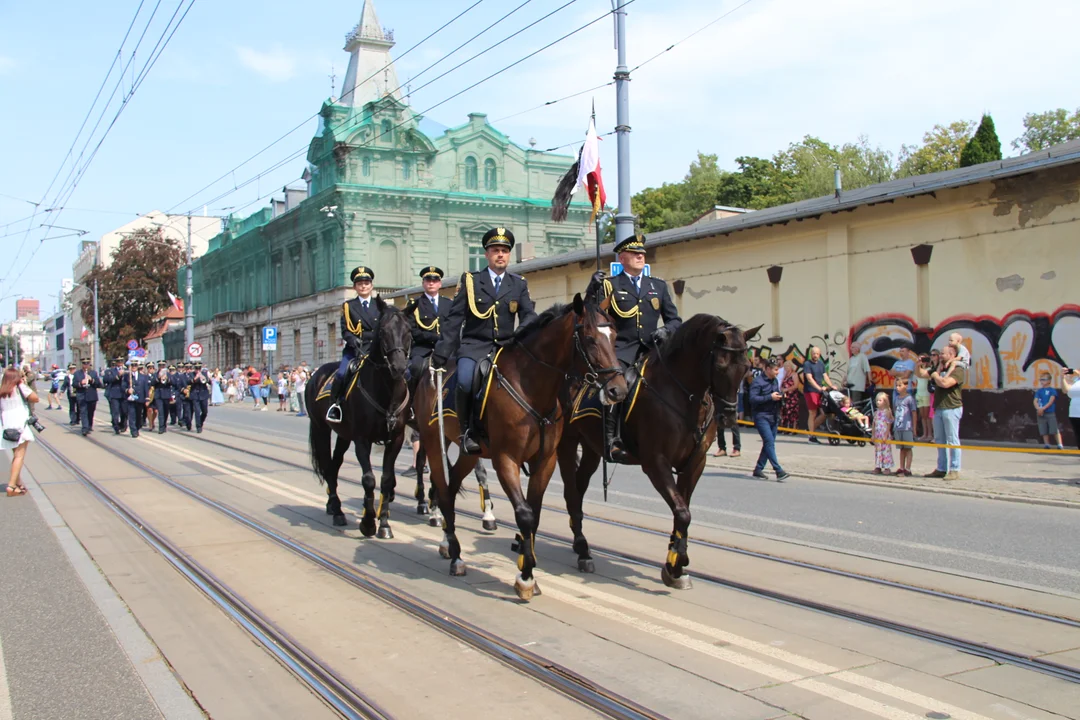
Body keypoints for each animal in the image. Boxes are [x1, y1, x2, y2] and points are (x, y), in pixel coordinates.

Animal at [311, 297, 414, 539]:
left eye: (409, 331)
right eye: (383, 330)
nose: (399, 367)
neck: (386, 391)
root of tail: (316, 373)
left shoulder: (395, 439)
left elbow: (386, 480)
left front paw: (384, 525)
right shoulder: (362, 439)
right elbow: (368, 480)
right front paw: (368, 523)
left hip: (343, 436)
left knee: (335, 465)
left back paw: (333, 507)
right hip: (321, 429)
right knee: (328, 465)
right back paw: (338, 511)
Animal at [414, 293, 630, 604]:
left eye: (613, 336)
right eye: (589, 339)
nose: (618, 390)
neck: (531, 386)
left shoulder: (546, 461)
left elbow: (535, 515)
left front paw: (528, 568)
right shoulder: (506, 459)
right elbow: (524, 514)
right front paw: (525, 578)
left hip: (469, 454)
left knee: (451, 490)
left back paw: (448, 544)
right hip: (434, 444)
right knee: (442, 490)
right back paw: (455, 556)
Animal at [557, 315, 760, 591]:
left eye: (747, 367)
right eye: (719, 365)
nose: (728, 416)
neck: (684, 396)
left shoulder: (694, 463)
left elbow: (682, 511)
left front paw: (675, 564)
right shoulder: (655, 462)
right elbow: (683, 512)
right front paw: (677, 562)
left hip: (591, 449)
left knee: (578, 490)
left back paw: (580, 544)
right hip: (566, 445)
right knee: (571, 492)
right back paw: (582, 550)